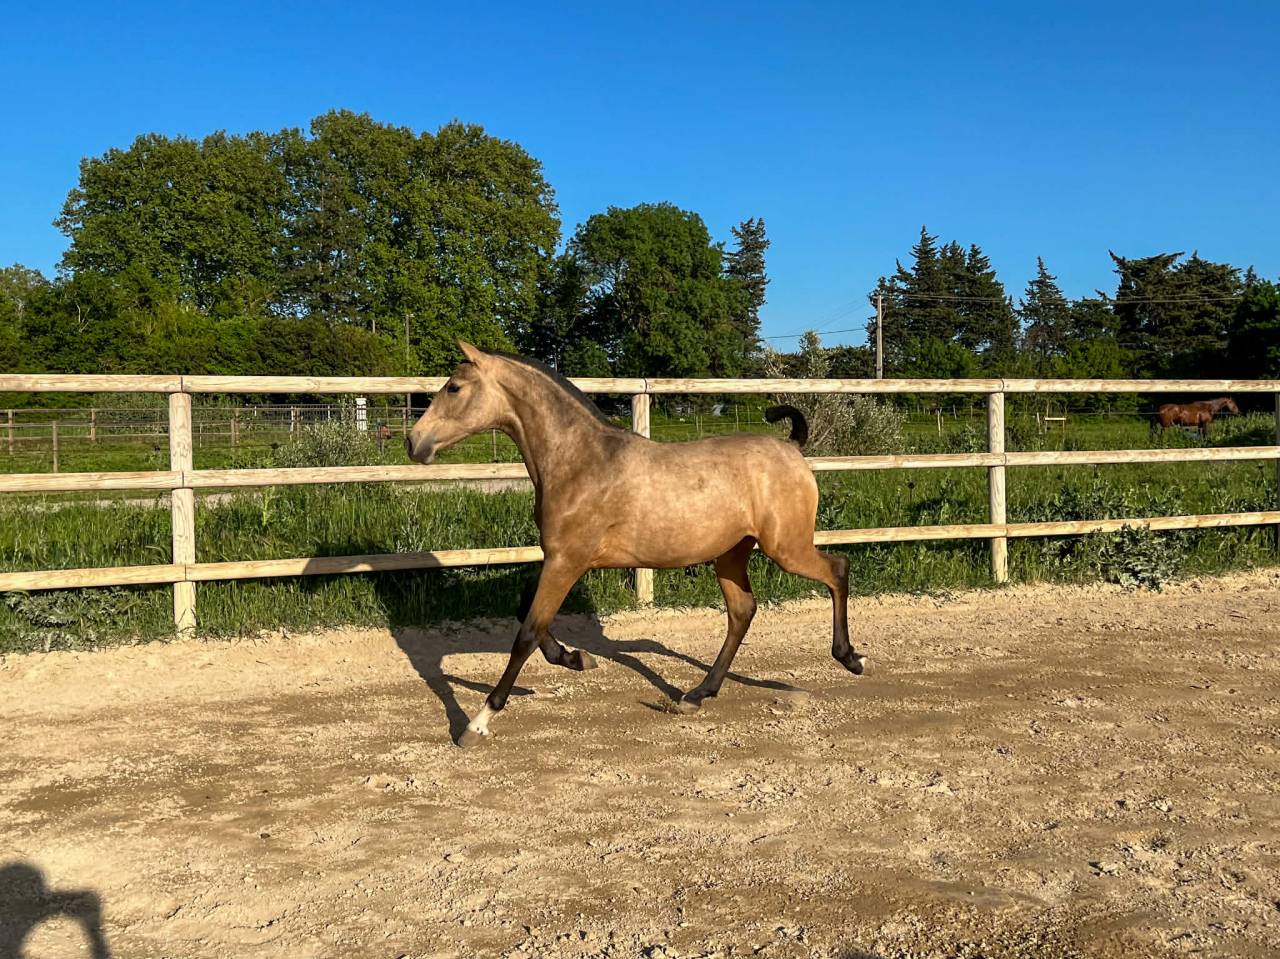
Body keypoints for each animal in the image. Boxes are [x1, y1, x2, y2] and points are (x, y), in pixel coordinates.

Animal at [405, 341, 865, 747]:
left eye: (454, 387)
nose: (413, 442)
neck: (580, 461)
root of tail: (792, 448)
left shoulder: (566, 561)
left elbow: (527, 633)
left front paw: (477, 723)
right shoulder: (560, 558)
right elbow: (526, 614)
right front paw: (576, 658)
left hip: (785, 548)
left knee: (837, 570)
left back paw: (851, 658)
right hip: (731, 556)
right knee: (742, 611)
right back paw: (696, 696)